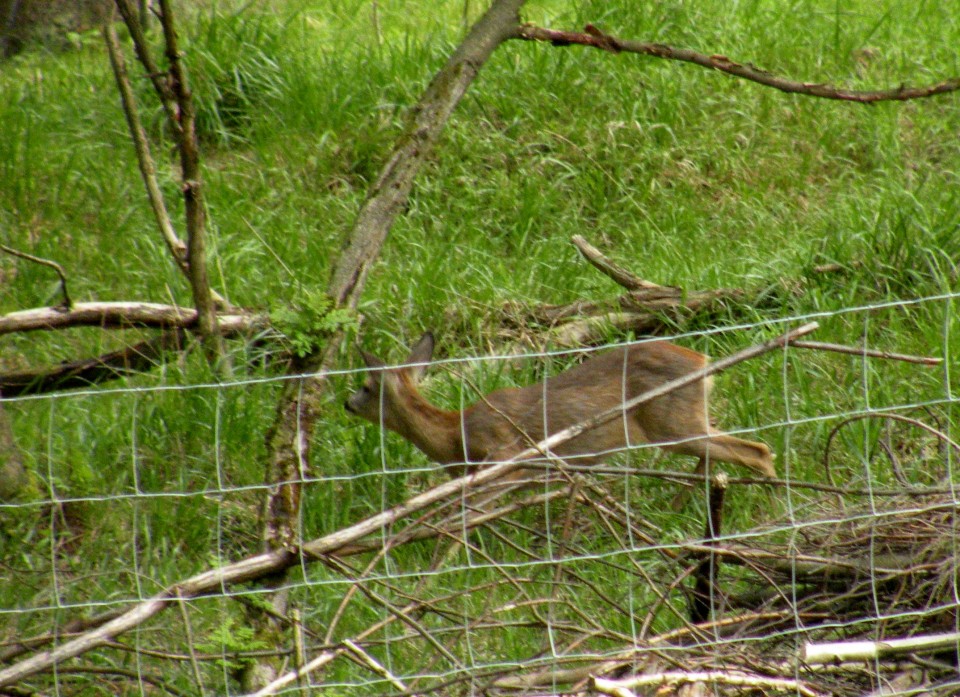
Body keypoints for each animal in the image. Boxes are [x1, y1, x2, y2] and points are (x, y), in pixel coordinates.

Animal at [342, 334, 776, 482]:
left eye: (366, 386)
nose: (346, 403)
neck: (453, 436)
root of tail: (704, 360)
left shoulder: (504, 453)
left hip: (672, 424)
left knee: (757, 450)